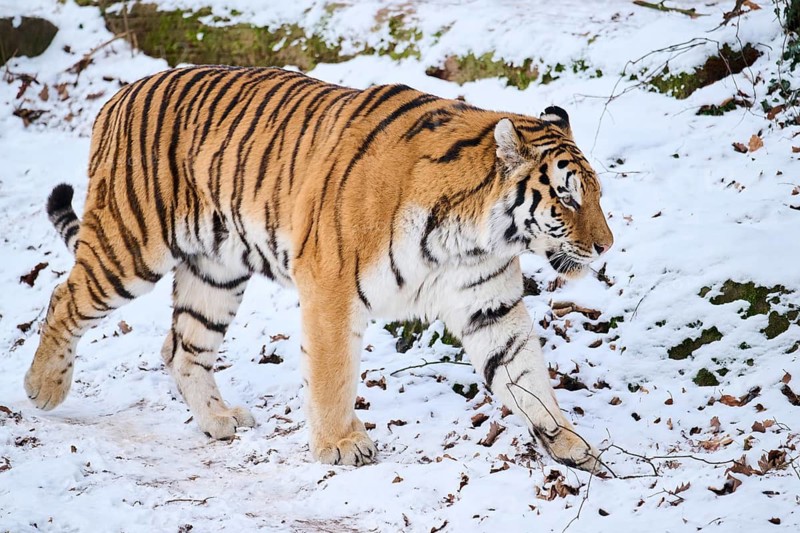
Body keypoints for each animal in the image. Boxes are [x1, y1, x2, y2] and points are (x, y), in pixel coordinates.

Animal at [25, 66, 613, 471]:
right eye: (566, 198)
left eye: (596, 194)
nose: (606, 246)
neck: (474, 235)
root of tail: (119, 95)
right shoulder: (332, 287)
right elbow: (334, 374)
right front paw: (341, 445)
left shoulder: (489, 304)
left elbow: (525, 376)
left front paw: (571, 445)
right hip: (130, 245)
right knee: (63, 297)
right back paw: (42, 387)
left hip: (216, 270)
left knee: (181, 346)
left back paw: (218, 420)